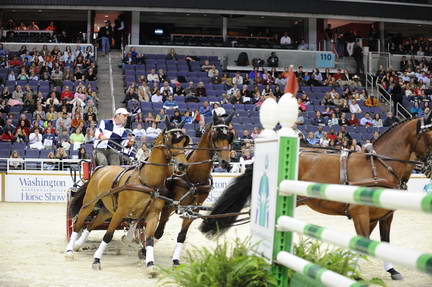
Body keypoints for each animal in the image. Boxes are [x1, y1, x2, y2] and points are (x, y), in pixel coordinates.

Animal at [65, 118, 189, 278]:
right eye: (170, 139)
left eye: (183, 141)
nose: (182, 164)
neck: (146, 181)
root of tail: (100, 169)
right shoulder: (121, 211)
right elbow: (108, 235)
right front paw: (97, 260)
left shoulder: (152, 215)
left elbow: (149, 239)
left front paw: (150, 265)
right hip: (89, 204)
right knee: (78, 223)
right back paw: (69, 250)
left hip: (106, 210)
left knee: (91, 225)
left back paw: (78, 245)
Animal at [154, 112, 235, 266]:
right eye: (216, 135)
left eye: (229, 137)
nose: (226, 163)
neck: (194, 177)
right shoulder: (169, 204)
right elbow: (158, 231)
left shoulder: (193, 209)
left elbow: (182, 235)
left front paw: (175, 259)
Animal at [201, 115, 432, 282]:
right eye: (430, 134)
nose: (429, 168)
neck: (378, 166)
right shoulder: (360, 213)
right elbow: (362, 242)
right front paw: (353, 273)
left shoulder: (383, 216)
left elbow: (382, 242)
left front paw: (391, 270)